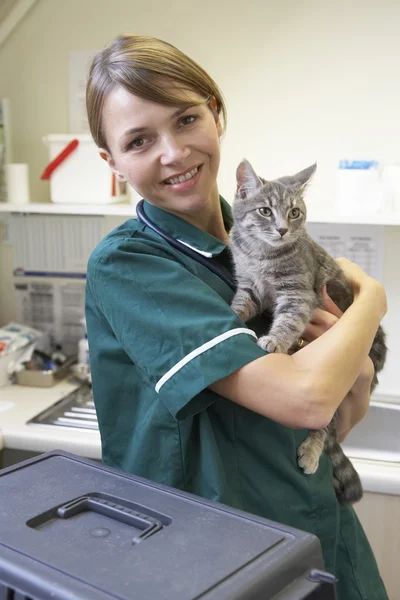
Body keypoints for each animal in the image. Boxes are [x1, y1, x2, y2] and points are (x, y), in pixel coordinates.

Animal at [230, 157, 386, 504]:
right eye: (265, 211)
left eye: (294, 212)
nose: (282, 229)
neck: (260, 254)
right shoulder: (249, 287)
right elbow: (240, 303)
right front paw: (231, 312)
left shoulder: (298, 293)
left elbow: (289, 319)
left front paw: (276, 341)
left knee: (325, 423)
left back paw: (313, 449)